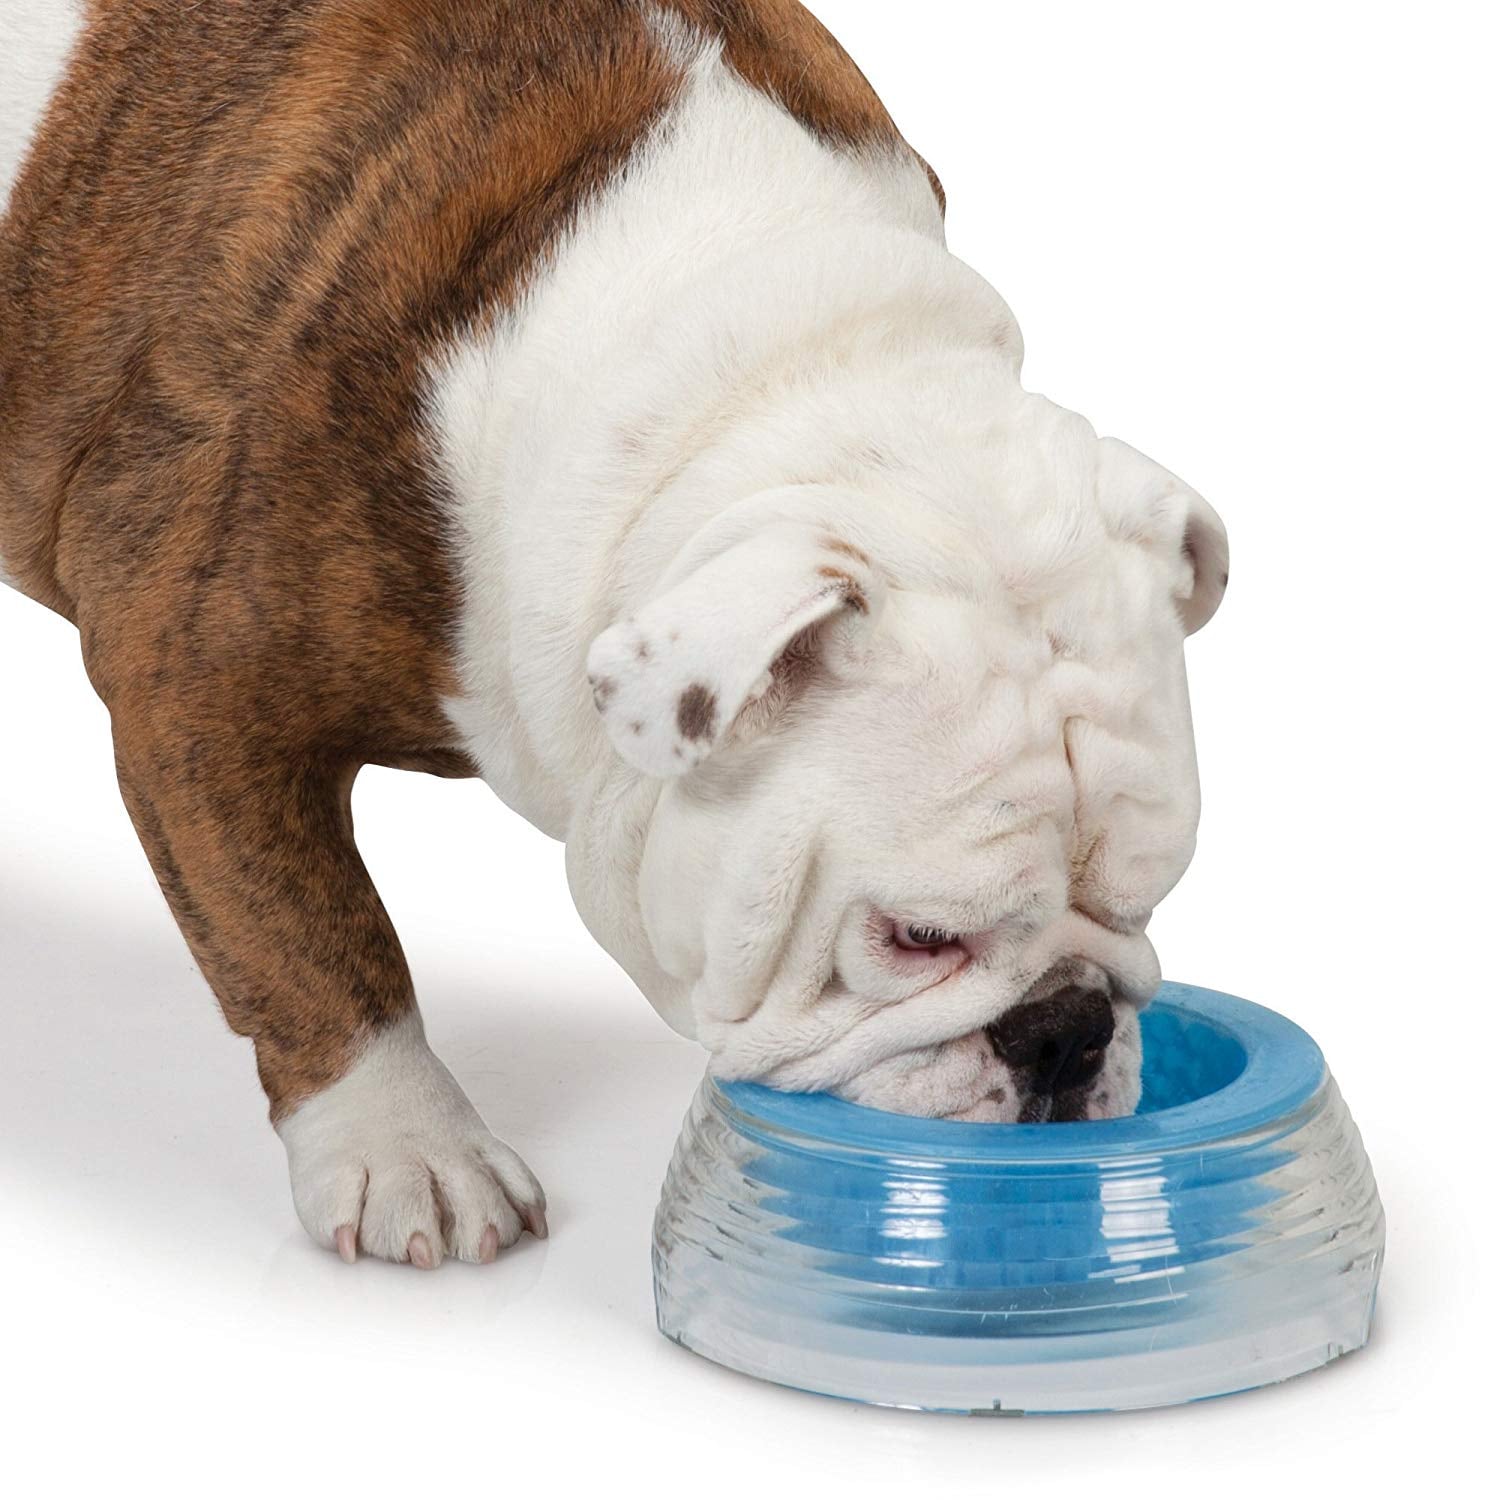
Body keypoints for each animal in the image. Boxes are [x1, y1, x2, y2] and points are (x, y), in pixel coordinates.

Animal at [2, 0, 1230, 1272]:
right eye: (917, 936)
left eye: (1144, 902)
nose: (1066, 1031)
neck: (758, 354)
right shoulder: (194, 693)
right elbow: (305, 937)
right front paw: (410, 1147)